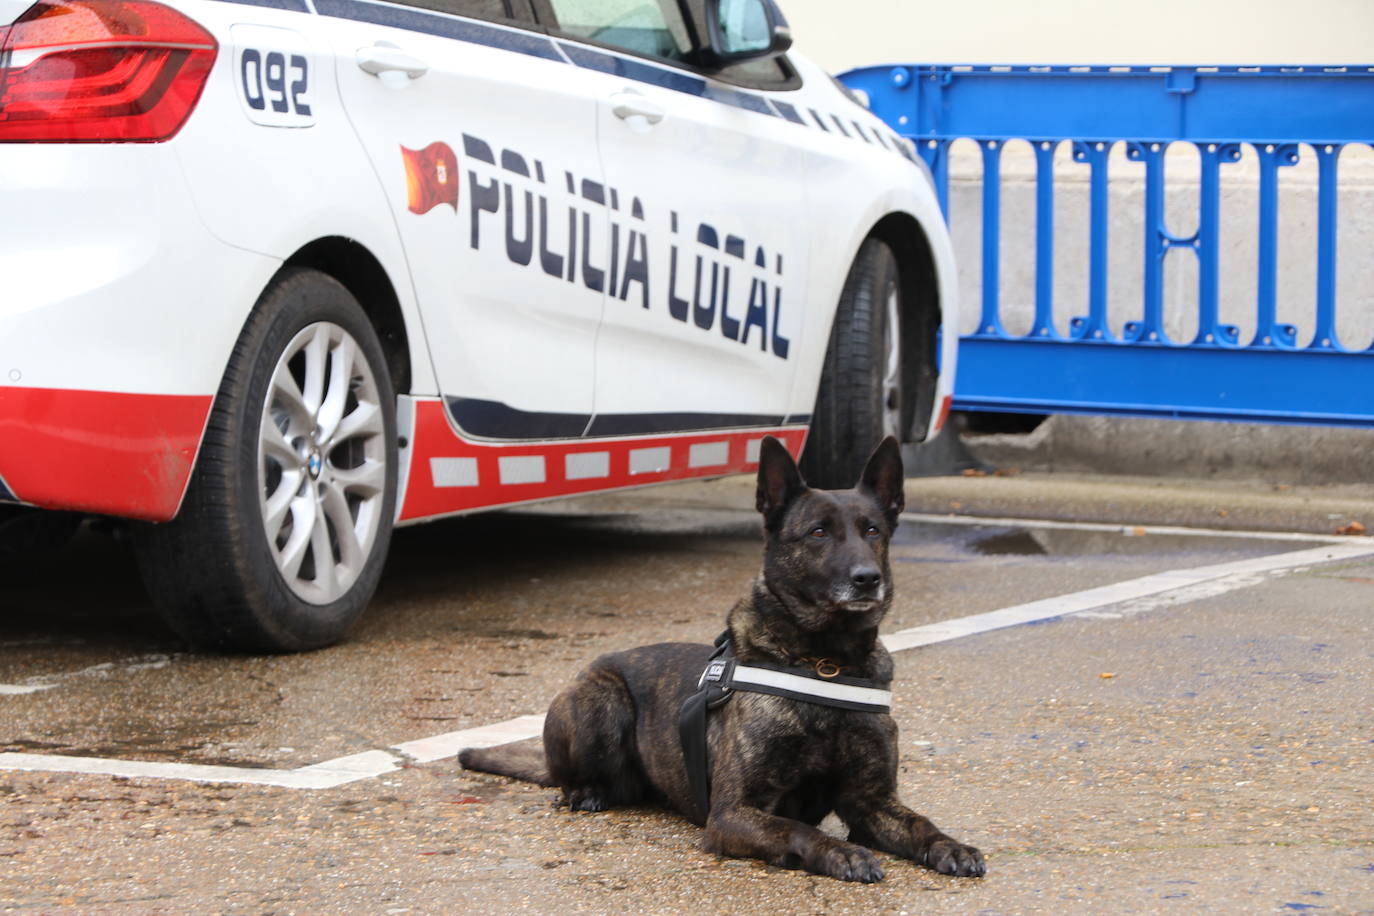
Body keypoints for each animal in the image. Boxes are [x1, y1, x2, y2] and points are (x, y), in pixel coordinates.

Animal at [461, 436, 989, 878]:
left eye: (873, 530)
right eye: (818, 532)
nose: (867, 580)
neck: (825, 663)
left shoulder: (871, 803)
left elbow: (919, 823)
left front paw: (949, 844)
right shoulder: (732, 814)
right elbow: (798, 829)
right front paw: (840, 851)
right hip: (602, 703)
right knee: (566, 777)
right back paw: (585, 791)